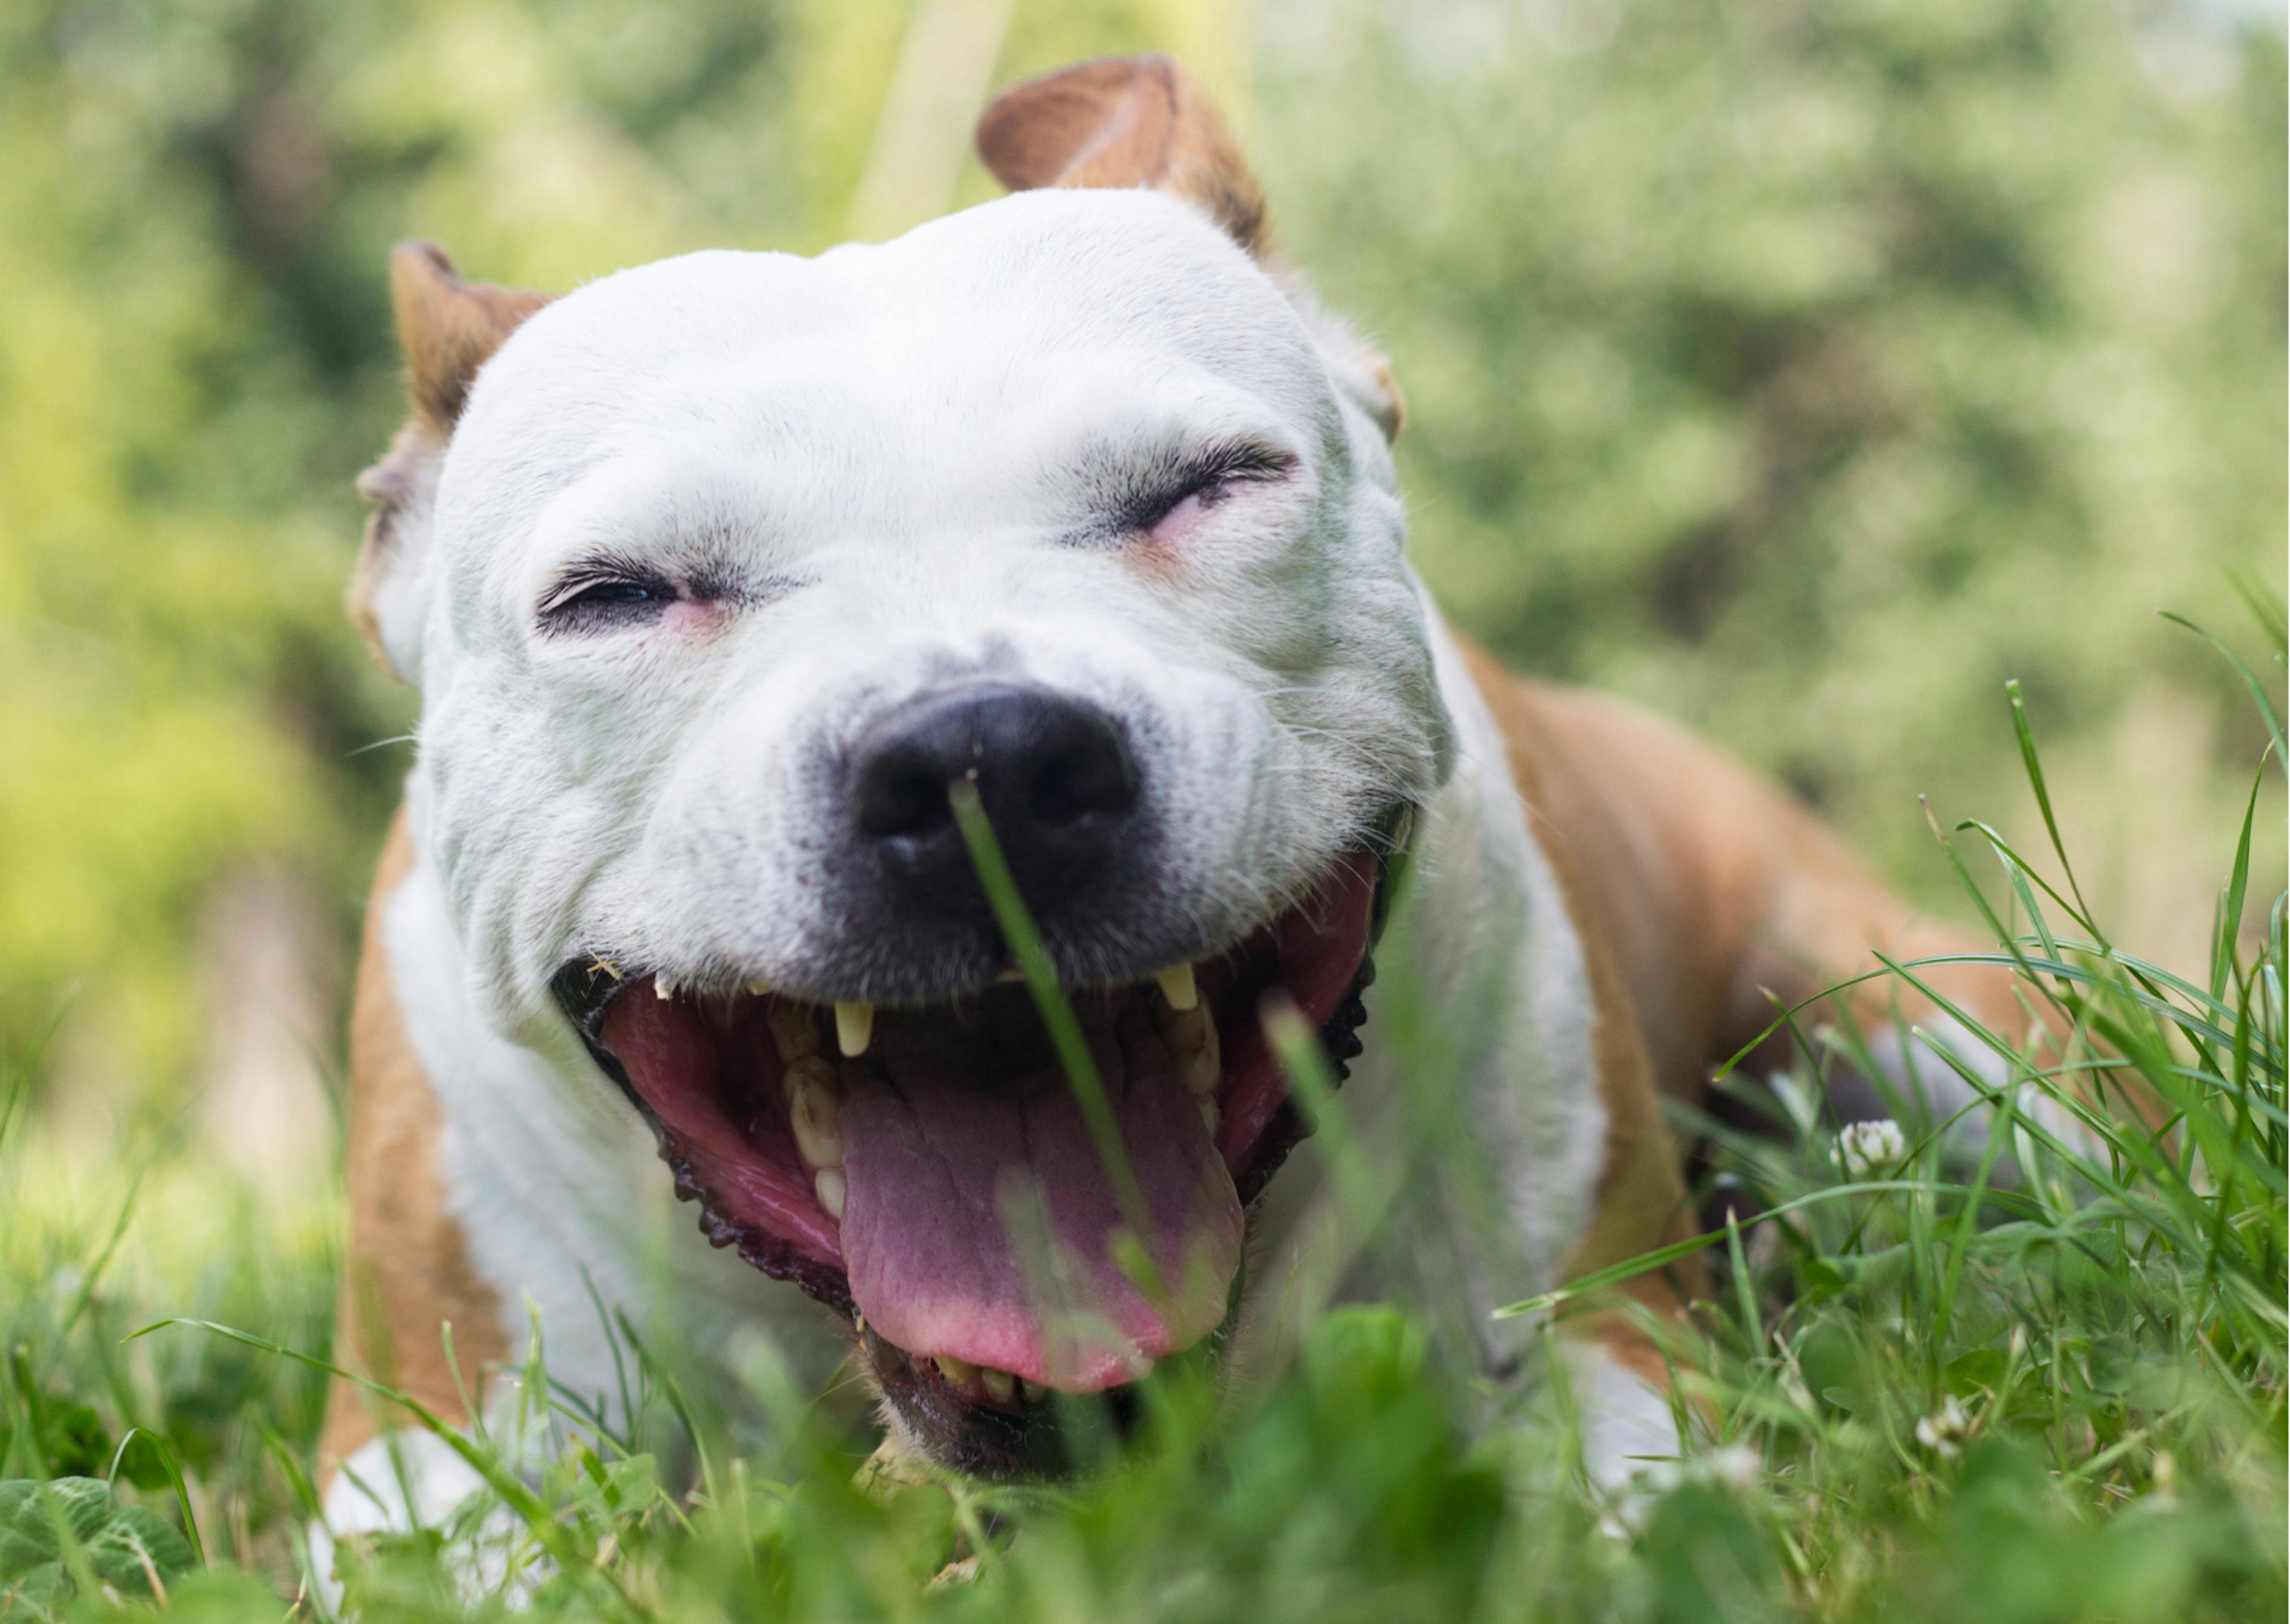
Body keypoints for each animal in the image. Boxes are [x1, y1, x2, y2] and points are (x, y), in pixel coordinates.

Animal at [300, 57, 2024, 1576]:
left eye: (1212, 484)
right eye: (615, 596)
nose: (979, 762)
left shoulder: (1597, 1338)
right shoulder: (423, 1459)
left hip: (1930, 1027)